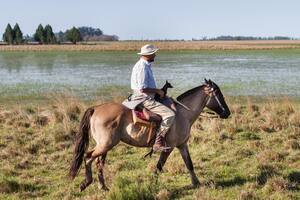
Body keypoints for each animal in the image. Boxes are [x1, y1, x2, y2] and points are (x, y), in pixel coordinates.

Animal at [69, 79, 231, 191]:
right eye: (218, 93)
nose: (227, 113)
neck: (182, 114)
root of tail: (96, 108)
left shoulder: (182, 145)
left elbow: (189, 164)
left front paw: (196, 183)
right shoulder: (169, 147)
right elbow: (159, 166)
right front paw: (153, 184)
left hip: (104, 146)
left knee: (98, 162)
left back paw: (103, 186)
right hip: (105, 145)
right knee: (88, 157)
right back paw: (85, 183)